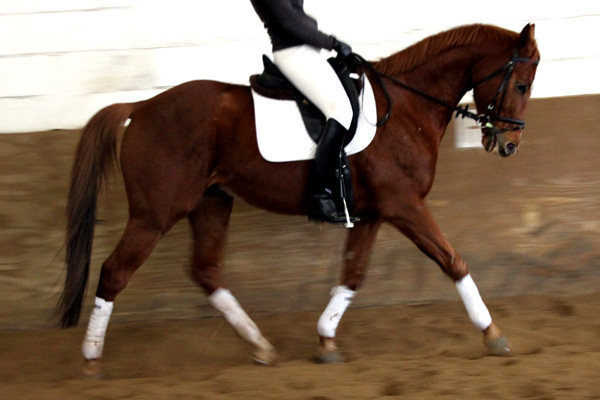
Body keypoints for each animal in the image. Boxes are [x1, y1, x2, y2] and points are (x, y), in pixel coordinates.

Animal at [58, 23, 540, 370]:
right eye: (521, 84)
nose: (510, 145)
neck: (405, 109)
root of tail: (141, 107)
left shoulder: (373, 213)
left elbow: (353, 275)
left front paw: (326, 339)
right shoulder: (403, 205)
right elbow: (452, 260)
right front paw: (493, 334)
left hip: (211, 201)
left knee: (206, 271)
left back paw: (261, 346)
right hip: (155, 214)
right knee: (115, 272)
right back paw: (91, 359)